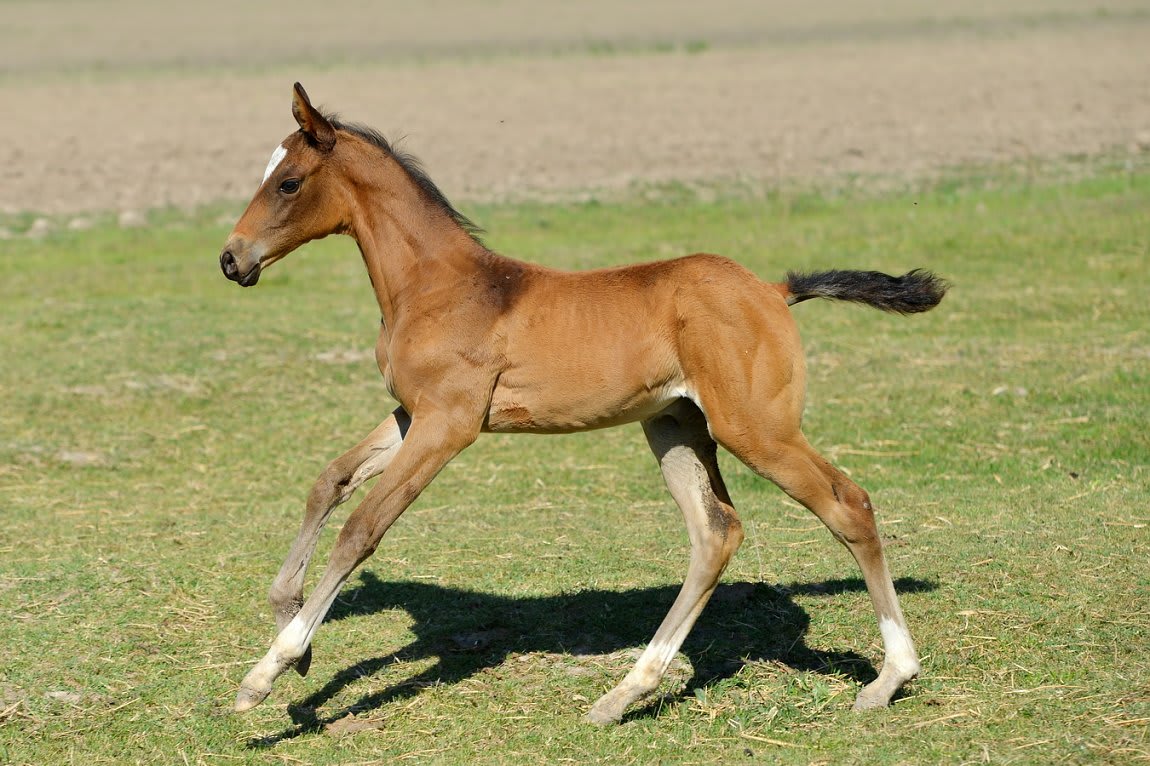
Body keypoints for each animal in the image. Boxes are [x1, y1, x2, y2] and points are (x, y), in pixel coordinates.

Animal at [219, 83, 946, 724]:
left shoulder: (449, 425)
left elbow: (363, 527)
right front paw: (293, 629)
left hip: (755, 429)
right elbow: (330, 482)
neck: (439, 286)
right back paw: (624, 694)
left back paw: (890, 678)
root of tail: (772, 290)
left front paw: (267, 673)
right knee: (716, 533)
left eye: (288, 183)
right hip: (675, 427)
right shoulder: (412, 415)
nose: (232, 260)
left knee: (848, 505)